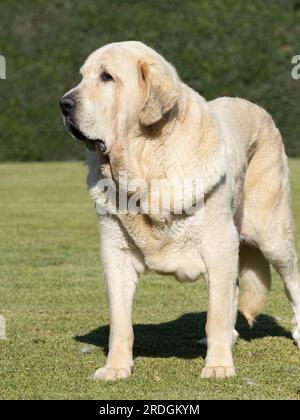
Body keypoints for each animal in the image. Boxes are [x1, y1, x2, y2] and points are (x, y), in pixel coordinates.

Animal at [60, 41, 300, 380]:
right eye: (82, 77)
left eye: (107, 77)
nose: (64, 104)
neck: (144, 165)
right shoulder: (115, 253)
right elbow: (120, 322)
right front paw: (115, 368)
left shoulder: (219, 244)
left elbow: (216, 314)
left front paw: (218, 366)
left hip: (272, 236)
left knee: (290, 281)